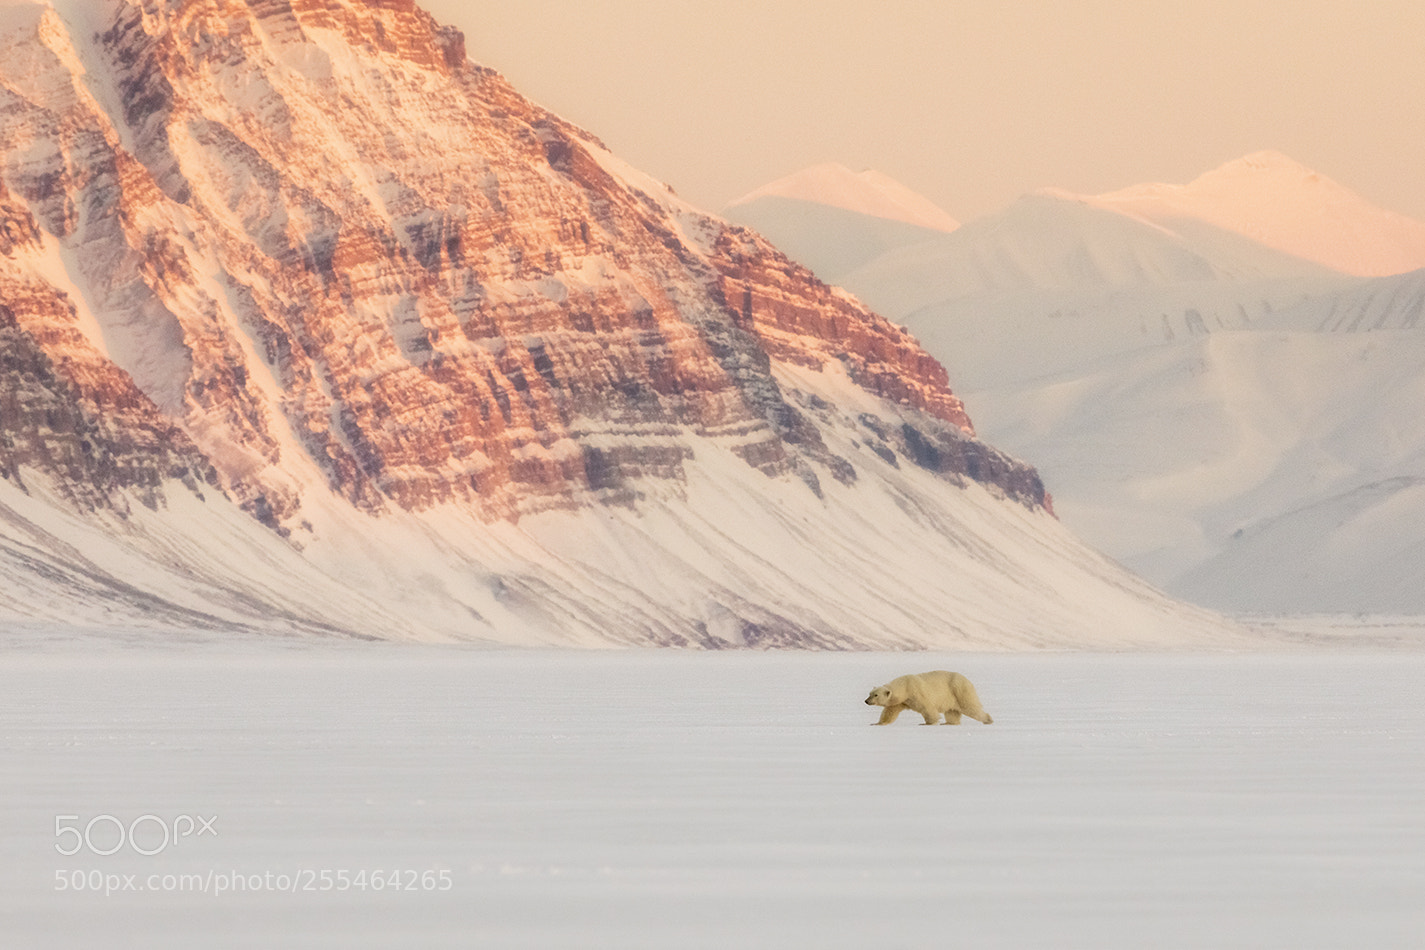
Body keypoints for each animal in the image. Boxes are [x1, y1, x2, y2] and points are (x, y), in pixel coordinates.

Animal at [864, 670, 993, 725]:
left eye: (875, 695)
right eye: (869, 693)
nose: (866, 701)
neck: (905, 686)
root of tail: (968, 681)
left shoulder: (916, 693)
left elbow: (927, 708)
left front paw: (929, 723)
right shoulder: (900, 702)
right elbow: (889, 712)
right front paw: (877, 723)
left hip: (959, 691)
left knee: (970, 707)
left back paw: (988, 720)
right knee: (952, 712)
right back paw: (949, 723)